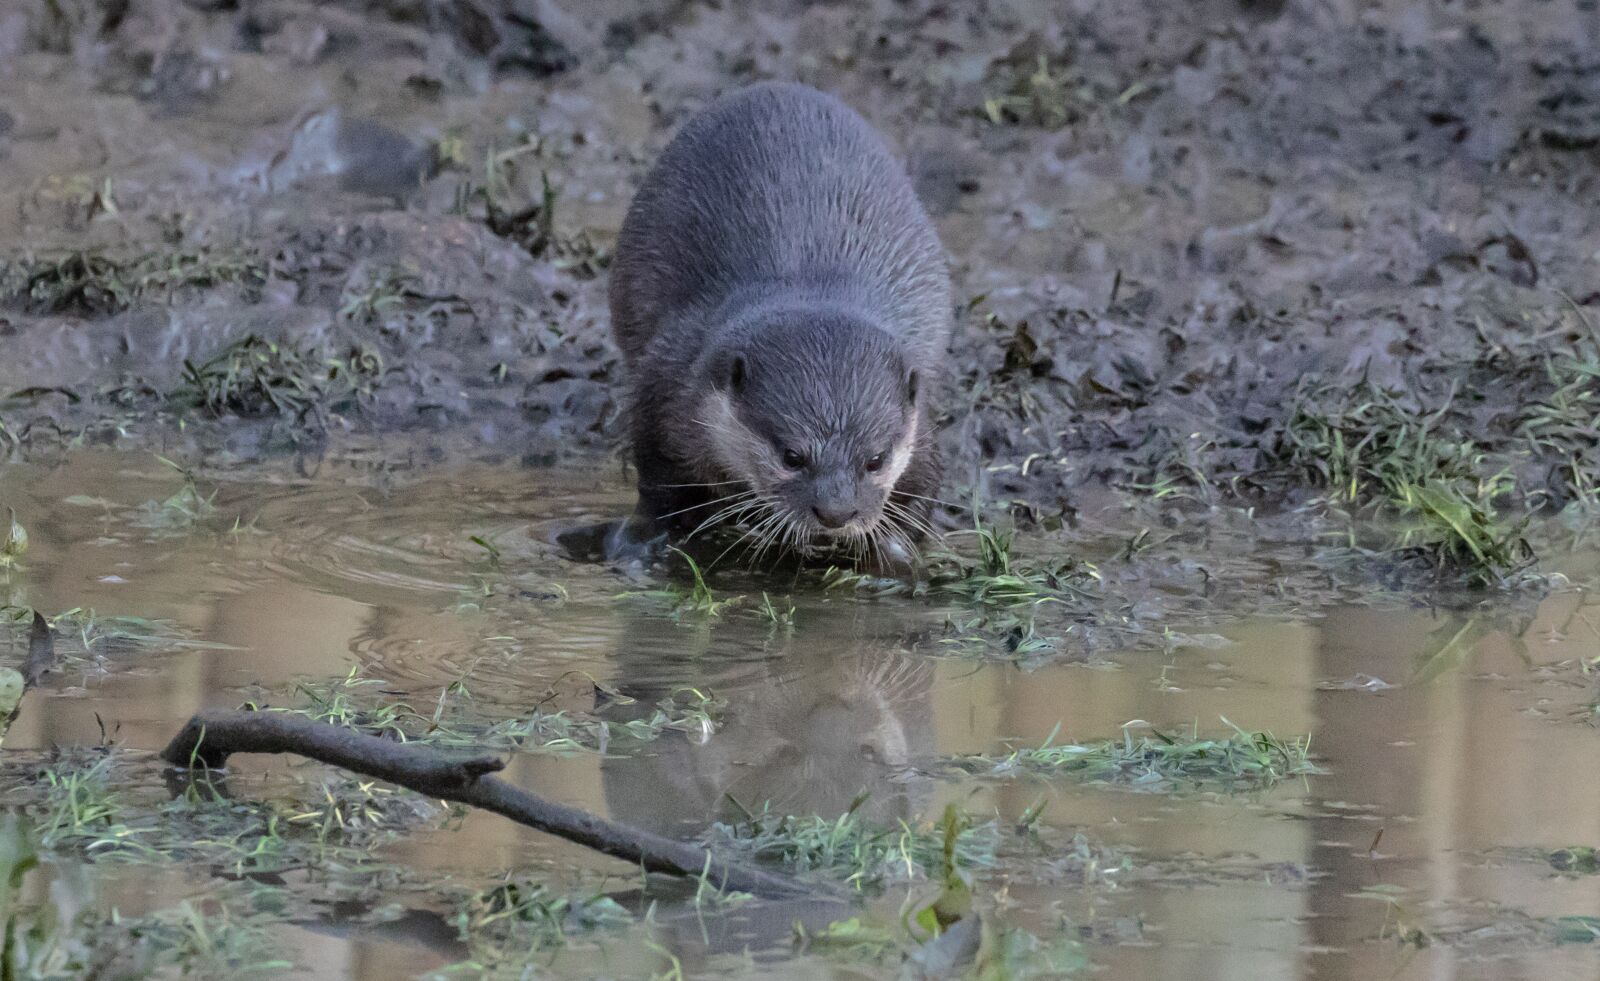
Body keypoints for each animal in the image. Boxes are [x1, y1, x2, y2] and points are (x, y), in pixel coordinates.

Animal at [607, 82, 951, 570]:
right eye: (792, 456)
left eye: (876, 460)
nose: (836, 513)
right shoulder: (664, 381)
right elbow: (656, 485)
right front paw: (640, 544)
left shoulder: (920, 432)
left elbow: (924, 493)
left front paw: (894, 552)